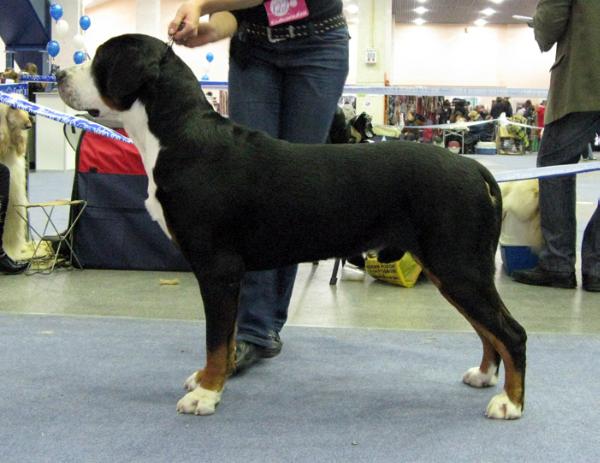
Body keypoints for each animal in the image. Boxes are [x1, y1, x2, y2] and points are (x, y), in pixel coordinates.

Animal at [55, 34, 524, 420]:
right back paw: (484, 376)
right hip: (455, 271)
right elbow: (225, 338)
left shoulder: (218, 267)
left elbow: (215, 337)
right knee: (489, 331)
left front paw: (206, 394)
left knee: (511, 333)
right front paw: (212, 378)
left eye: (100, 59)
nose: (57, 73)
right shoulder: (230, 272)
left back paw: (509, 403)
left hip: (458, 266)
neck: (176, 136)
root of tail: (474, 167)